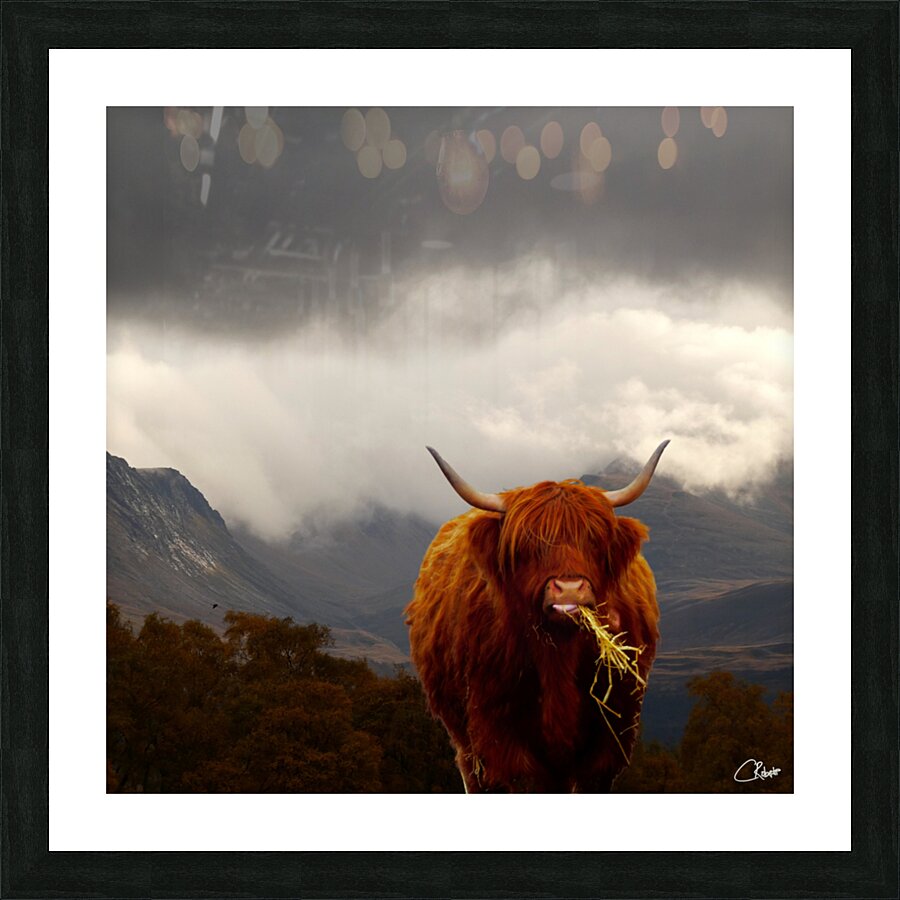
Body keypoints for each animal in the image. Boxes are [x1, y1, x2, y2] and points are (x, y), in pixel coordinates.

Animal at [406, 441, 669, 793]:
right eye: (528, 544)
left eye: (595, 540)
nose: (569, 589)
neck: (558, 658)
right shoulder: (500, 739)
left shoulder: (608, 742)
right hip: (465, 744)